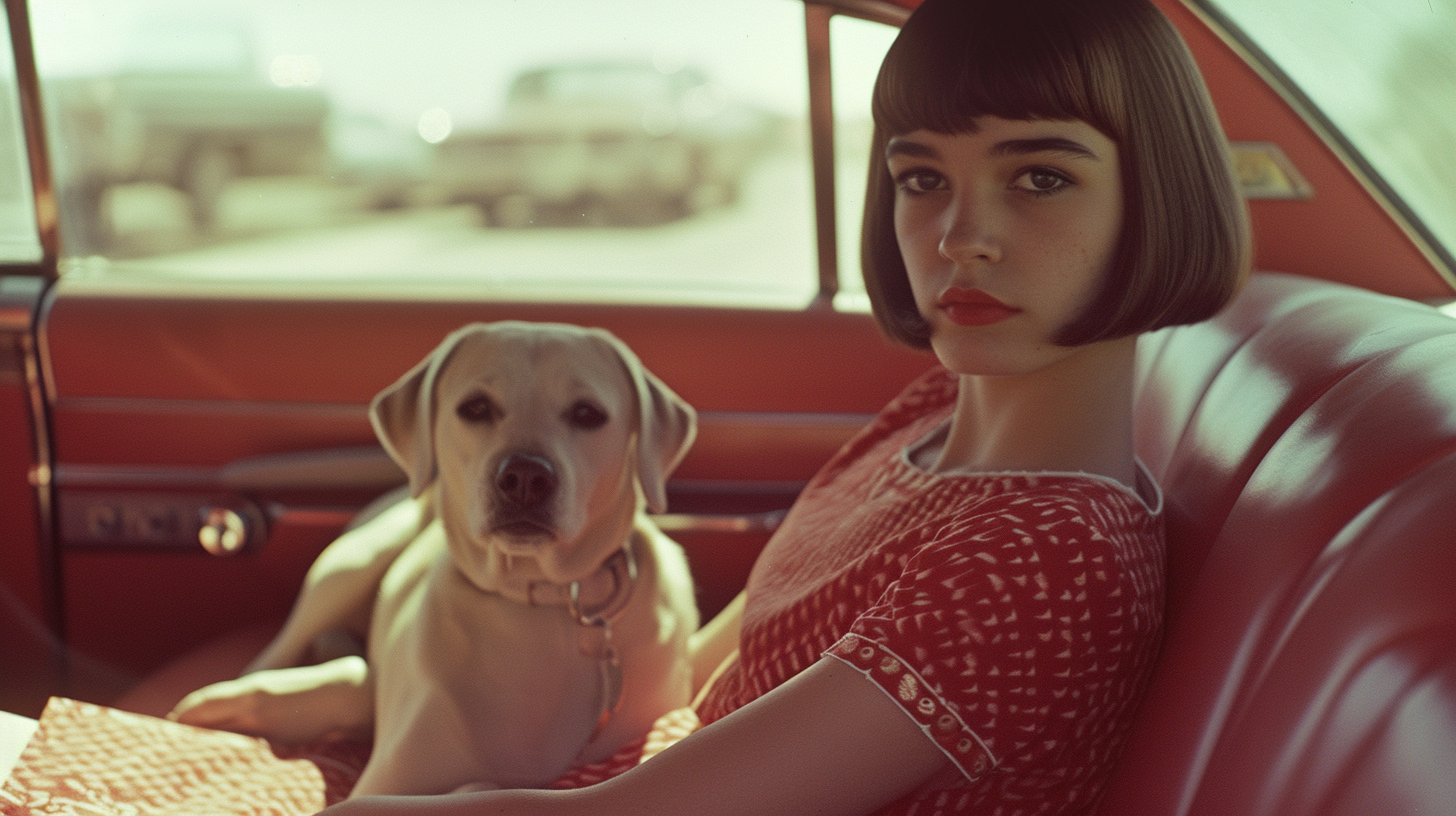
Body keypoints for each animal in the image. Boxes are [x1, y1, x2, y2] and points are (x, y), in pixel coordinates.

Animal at [170, 322, 698, 792]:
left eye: (588, 414)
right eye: (476, 407)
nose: (526, 477)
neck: (542, 604)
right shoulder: (385, 785)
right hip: (346, 566)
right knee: (283, 651)